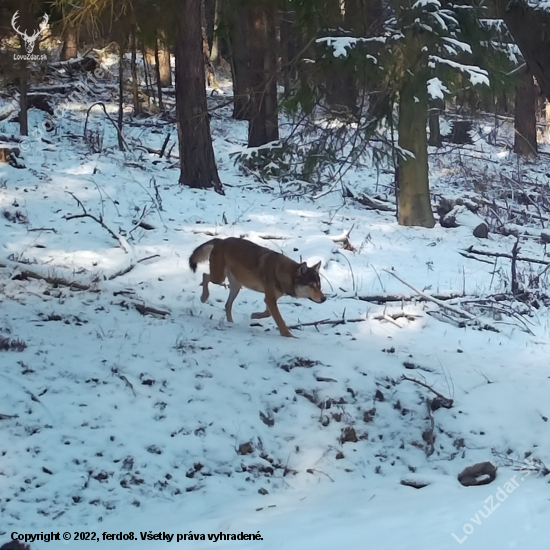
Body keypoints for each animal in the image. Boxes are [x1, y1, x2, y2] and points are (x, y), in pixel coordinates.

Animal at [190, 237, 328, 336]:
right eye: (311, 285)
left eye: (319, 286)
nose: (324, 299)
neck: (283, 273)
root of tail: (221, 240)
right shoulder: (270, 298)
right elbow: (279, 320)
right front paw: (289, 337)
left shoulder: (270, 298)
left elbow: (268, 313)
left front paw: (254, 315)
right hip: (219, 278)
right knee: (205, 276)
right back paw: (204, 297)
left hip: (235, 286)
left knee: (227, 304)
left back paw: (231, 324)